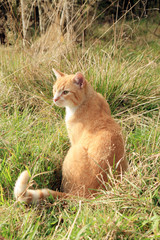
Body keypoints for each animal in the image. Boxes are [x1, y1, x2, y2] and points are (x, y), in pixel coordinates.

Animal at [14, 69, 128, 202]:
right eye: (54, 89)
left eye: (65, 92)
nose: (55, 99)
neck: (87, 100)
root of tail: (84, 196)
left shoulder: (73, 139)